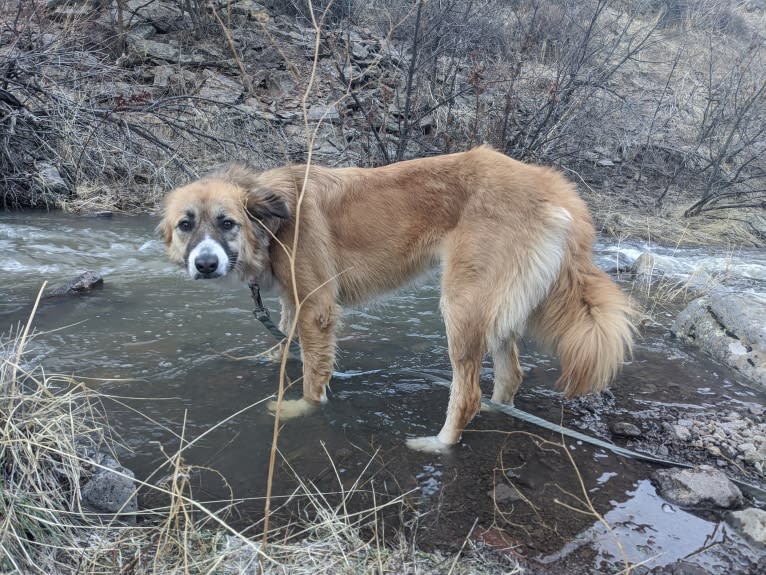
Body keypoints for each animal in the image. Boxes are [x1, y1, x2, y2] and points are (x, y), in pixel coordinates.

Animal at [159, 146, 632, 452]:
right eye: (186, 224)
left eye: (227, 223)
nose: (204, 264)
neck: (276, 221)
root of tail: (551, 183)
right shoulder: (294, 302)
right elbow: (285, 341)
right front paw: (267, 360)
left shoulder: (317, 309)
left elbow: (313, 374)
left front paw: (300, 410)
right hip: (496, 305)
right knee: (510, 375)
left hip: (462, 304)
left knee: (468, 392)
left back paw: (439, 443)